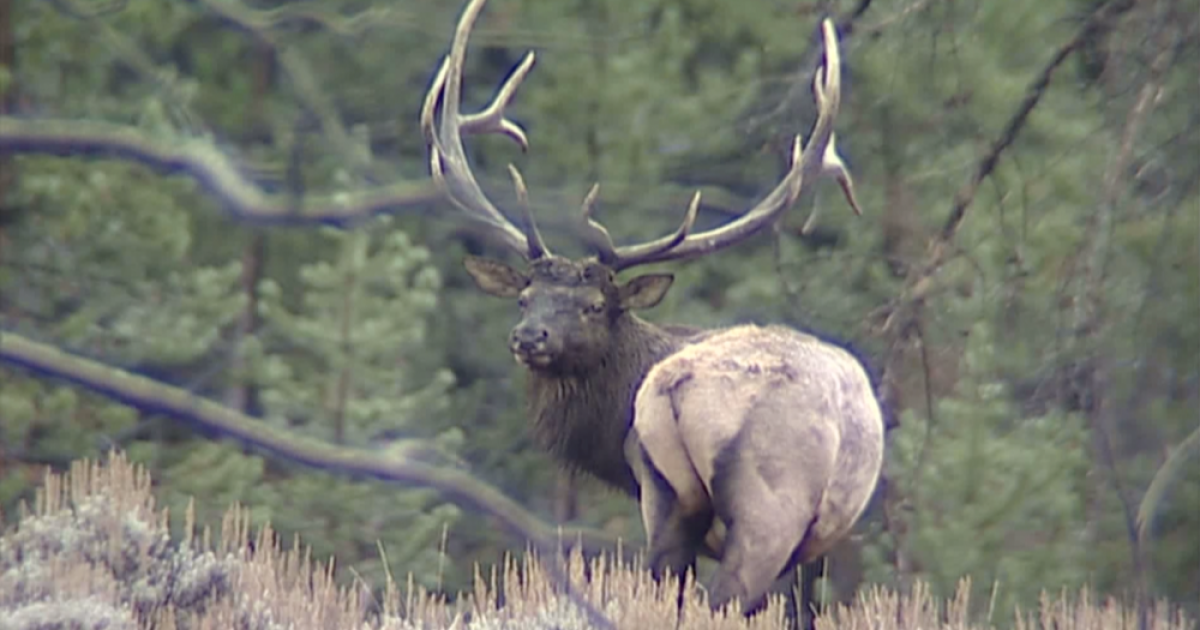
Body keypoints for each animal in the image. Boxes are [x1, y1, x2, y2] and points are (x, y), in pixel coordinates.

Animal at [421, 0, 885, 624]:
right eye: (524, 297)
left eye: (594, 306)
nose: (529, 336)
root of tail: (679, 386)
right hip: (771, 507)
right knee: (724, 597)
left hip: (668, 499)